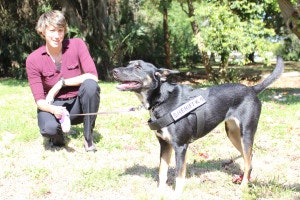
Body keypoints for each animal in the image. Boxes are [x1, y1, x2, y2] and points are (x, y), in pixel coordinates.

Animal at [112, 55, 284, 193]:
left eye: (138, 67)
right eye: (128, 64)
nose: (114, 71)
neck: (162, 100)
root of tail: (252, 89)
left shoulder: (180, 147)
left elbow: (179, 175)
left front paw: (177, 195)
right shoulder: (164, 144)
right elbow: (162, 171)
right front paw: (159, 192)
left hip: (246, 133)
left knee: (248, 162)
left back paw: (242, 188)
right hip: (233, 134)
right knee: (249, 160)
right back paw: (244, 181)